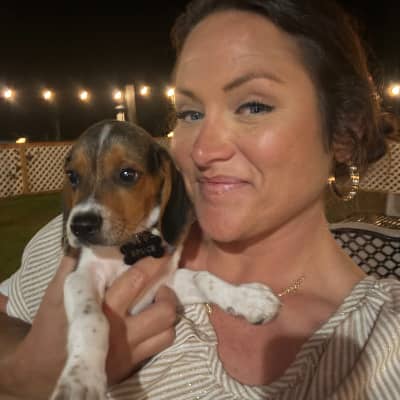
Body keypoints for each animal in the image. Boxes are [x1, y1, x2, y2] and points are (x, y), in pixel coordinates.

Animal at [50, 120, 280, 399]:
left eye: (127, 174)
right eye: (72, 176)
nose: (81, 226)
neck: (129, 247)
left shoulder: (162, 284)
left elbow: (203, 277)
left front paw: (248, 299)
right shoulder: (79, 277)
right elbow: (91, 318)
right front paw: (80, 377)